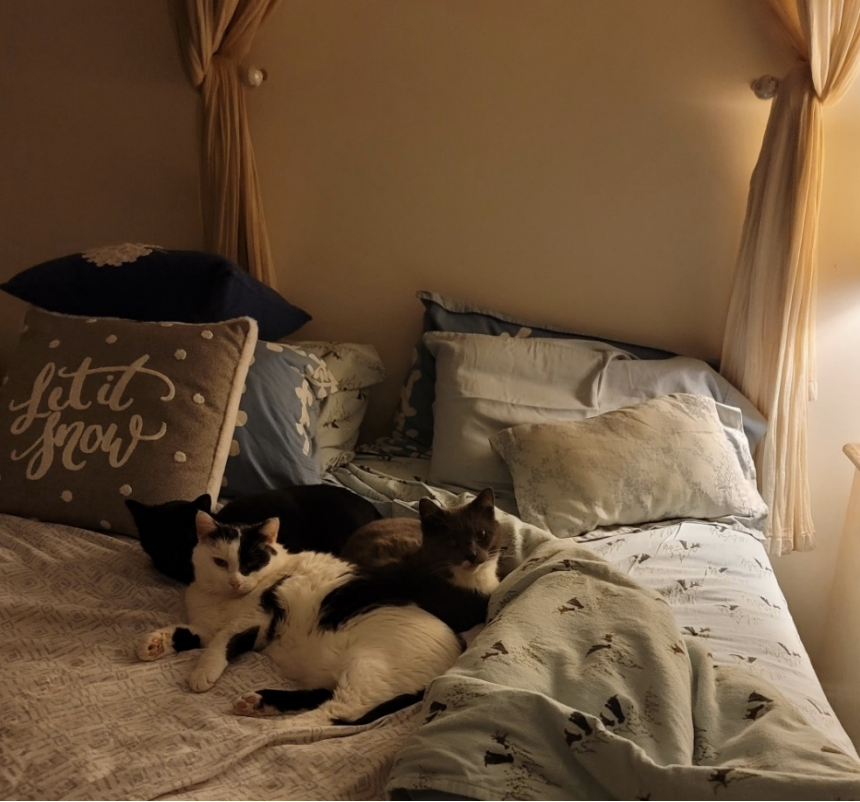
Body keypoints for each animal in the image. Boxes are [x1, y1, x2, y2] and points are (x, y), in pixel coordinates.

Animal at [140, 512, 464, 724]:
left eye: (252, 562)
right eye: (220, 562)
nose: (235, 581)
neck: (224, 600)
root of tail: (457, 653)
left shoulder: (257, 618)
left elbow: (222, 641)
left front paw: (202, 671)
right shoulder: (207, 625)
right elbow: (190, 632)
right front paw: (155, 642)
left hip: (368, 665)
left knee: (338, 715)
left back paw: (275, 731)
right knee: (322, 696)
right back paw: (258, 703)